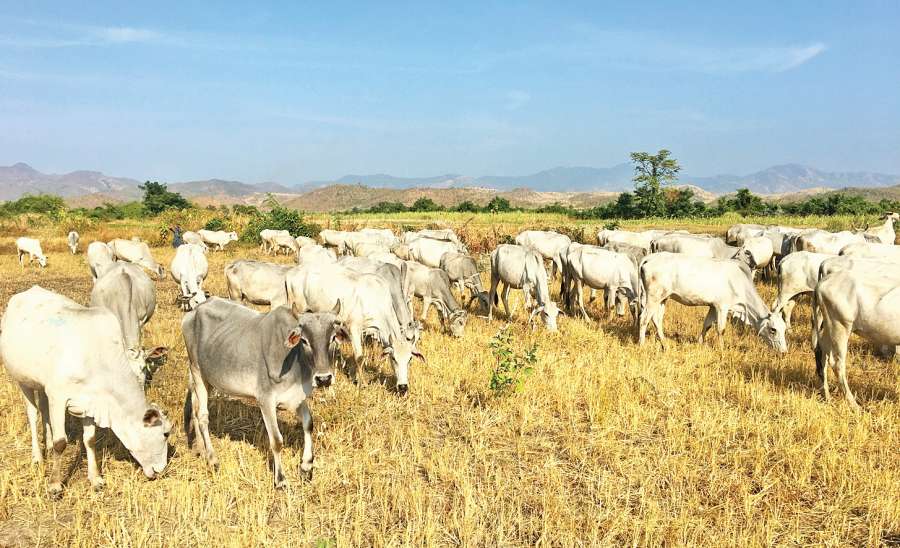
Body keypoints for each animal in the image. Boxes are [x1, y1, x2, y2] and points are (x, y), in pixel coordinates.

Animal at [0, 286, 171, 495]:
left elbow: (89, 439)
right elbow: (60, 442)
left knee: (44, 411)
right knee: (33, 415)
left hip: (42, 386)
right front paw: (55, 484)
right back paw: (38, 457)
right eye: (165, 433)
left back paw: (46, 444)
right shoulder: (58, 396)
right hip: (23, 381)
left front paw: (95, 478)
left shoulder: (91, 401)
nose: (162, 470)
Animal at [182, 298, 345, 487]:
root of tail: (196, 310)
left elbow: (308, 424)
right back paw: (212, 459)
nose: (324, 378)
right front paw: (280, 479)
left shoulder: (297, 396)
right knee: (202, 416)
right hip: (197, 371)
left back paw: (200, 450)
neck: (294, 360)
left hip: (207, 379)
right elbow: (276, 440)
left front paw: (306, 467)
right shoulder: (265, 400)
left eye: (333, 338)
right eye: (304, 340)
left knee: (195, 411)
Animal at [285, 263, 425, 394]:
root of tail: (291, 273)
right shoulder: (354, 327)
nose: (403, 387)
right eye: (393, 358)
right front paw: (362, 383)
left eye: (409, 359)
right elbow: (359, 357)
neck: (375, 299)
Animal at [638, 252, 787, 352]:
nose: (784, 351)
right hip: (653, 297)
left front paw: (700, 343)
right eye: (773, 330)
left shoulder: (713, 306)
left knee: (656, 320)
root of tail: (649, 258)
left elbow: (707, 325)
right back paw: (642, 345)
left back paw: (664, 344)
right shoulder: (722, 306)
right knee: (643, 319)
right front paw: (721, 349)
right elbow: (721, 329)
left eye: (784, 329)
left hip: (663, 298)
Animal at [814, 268, 900, 411]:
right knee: (836, 363)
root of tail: (823, 281)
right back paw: (854, 405)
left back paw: (827, 397)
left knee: (822, 355)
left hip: (829, 327)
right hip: (840, 325)